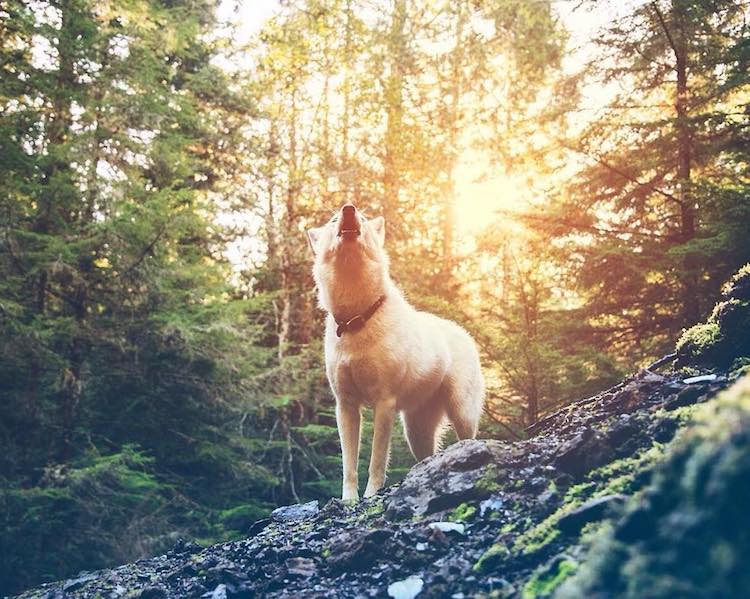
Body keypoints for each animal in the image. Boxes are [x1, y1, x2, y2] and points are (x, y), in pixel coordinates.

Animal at [306, 204, 488, 500]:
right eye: (334, 219)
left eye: (363, 217)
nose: (348, 209)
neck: (357, 318)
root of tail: (465, 335)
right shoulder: (346, 406)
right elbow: (349, 464)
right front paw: (349, 500)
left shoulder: (384, 403)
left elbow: (377, 461)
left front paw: (371, 495)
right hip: (416, 432)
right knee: (427, 454)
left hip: (462, 412)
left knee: (469, 438)